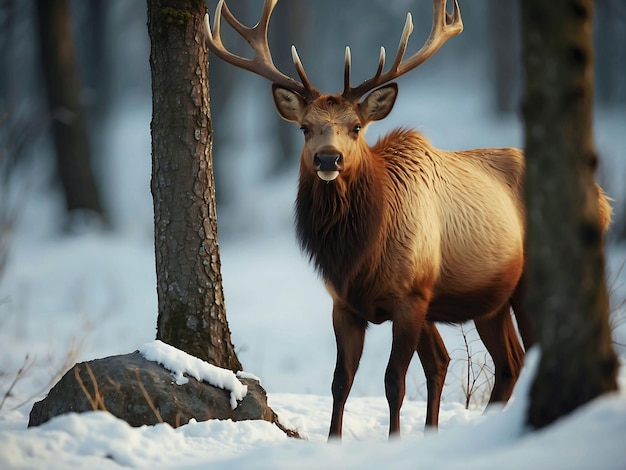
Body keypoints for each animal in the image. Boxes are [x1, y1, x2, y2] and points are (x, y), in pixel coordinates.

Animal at [204, 0, 608, 440]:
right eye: (304, 128)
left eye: (356, 127)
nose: (328, 159)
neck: (360, 255)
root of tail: (602, 200)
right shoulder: (345, 304)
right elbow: (342, 381)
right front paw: (333, 441)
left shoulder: (410, 297)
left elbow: (393, 379)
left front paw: (394, 439)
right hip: (490, 301)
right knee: (507, 361)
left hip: (529, 279)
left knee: (524, 354)